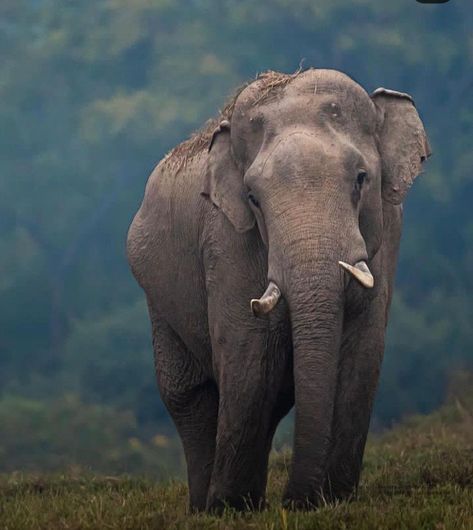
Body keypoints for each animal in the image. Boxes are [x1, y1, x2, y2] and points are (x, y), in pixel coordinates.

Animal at [127, 68, 430, 510]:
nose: (296, 502)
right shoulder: (226, 242)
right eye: (253, 197)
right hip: (157, 299)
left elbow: (363, 356)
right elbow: (249, 358)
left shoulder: (389, 235)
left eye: (361, 179)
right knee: (189, 395)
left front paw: (334, 499)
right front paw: (231, 508)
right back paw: (206, 507)